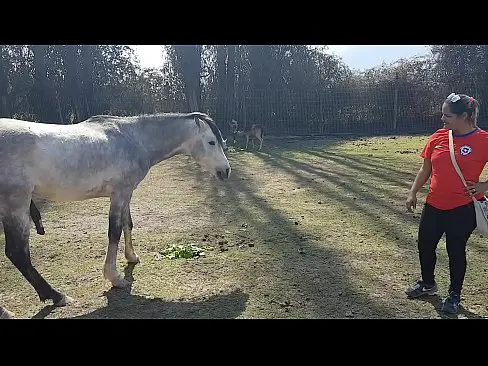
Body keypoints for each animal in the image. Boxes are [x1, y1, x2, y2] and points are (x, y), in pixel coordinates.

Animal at [0, 111, 231, 318]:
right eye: (211, 142)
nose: (226, 171)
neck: (133, 138)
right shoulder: (120, 193)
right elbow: (115, 232)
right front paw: (115, 278)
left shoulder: (125, 193)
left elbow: (128, 224)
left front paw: (132, 257)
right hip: (16, 205)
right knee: (18, 253)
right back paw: (56, 296)